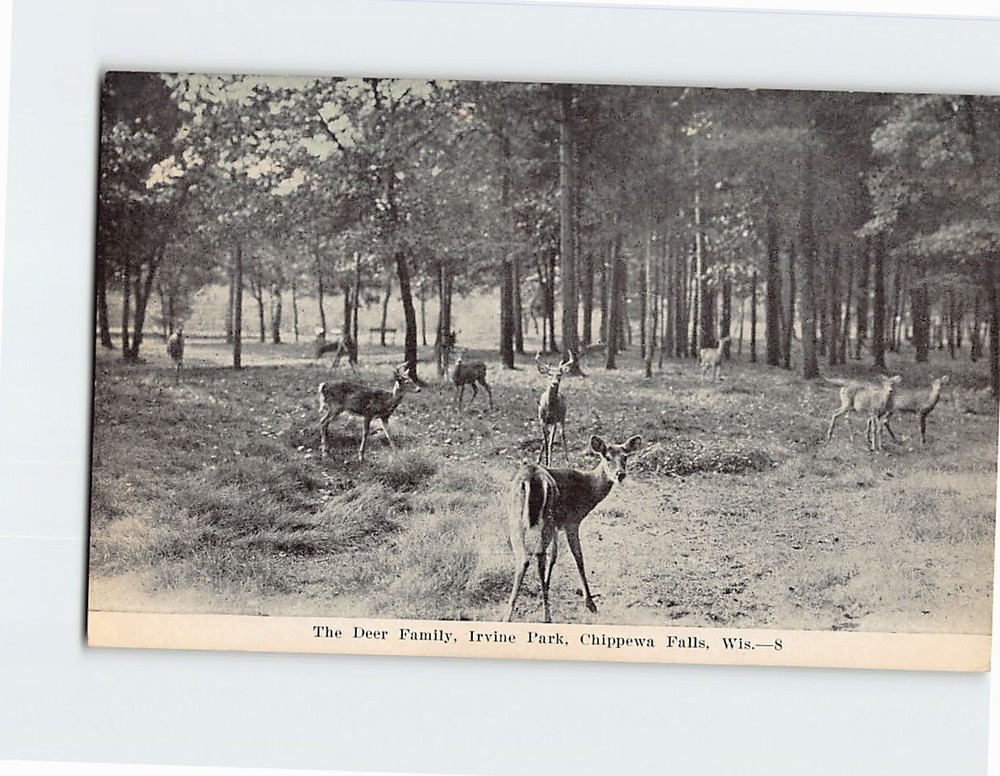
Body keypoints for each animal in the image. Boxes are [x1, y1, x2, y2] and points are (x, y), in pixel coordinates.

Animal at [505, 434, 643, 623]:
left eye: (625, 457)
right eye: (607, 457)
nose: (620, 474)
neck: (589, 489)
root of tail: (531, 478)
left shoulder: (558, 525)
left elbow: (554, 556)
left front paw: (547, 585)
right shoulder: (572, 521)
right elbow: (579, 558)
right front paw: (590, 603)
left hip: (517, 517)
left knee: (526, 558)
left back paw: (509, 614)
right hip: (545, 517)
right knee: (538, 554)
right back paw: (546, 615)